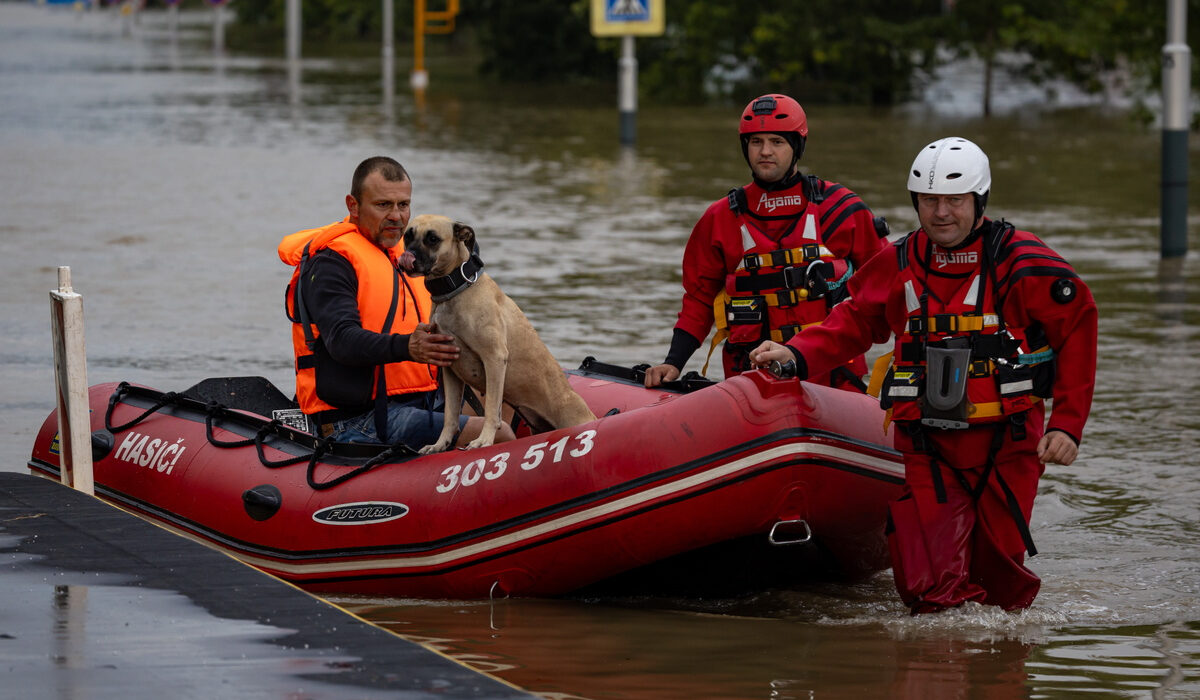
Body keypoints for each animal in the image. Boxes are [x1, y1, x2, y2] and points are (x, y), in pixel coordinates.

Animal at [400, 214, 597, 453]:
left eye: (432, 239)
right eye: (408, 236)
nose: (408, 257)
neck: (455, 290)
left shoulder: (494, 358)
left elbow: (492, 411)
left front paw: (483, 440)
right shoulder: (450, 369)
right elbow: (450, 417)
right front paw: (440, 444)